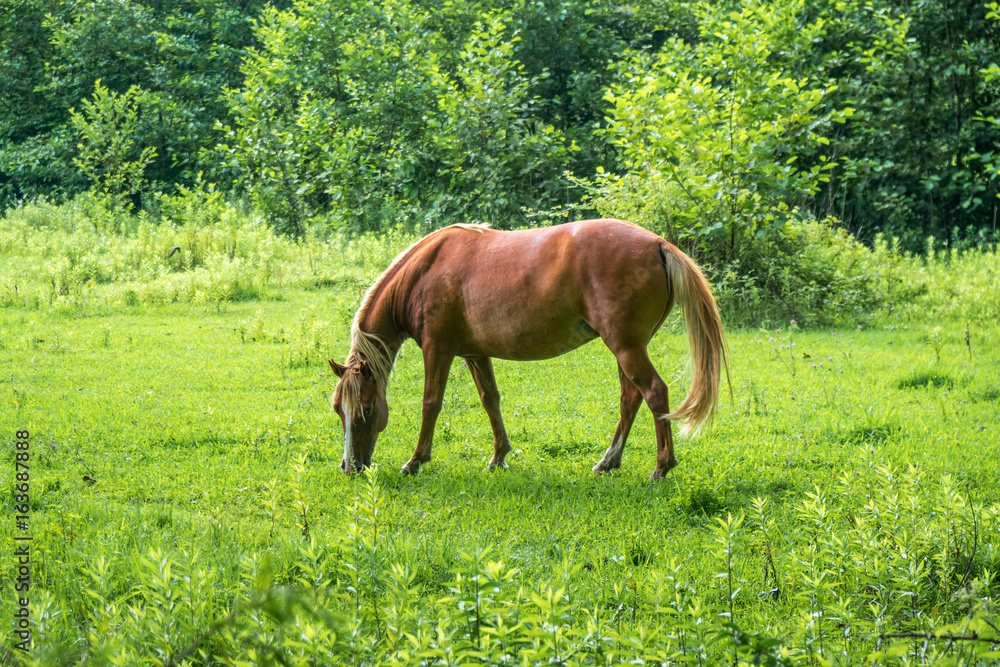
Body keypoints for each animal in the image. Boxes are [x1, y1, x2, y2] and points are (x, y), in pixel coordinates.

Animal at [328, 218, 729, 481]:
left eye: (365, 409)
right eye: (337, 410)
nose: (350, 467)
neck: (424, 272)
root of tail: (658, 244)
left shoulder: (437, 349)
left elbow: (431, 403)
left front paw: (416, 460)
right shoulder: (474, 354)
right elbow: (490, 400)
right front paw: (499, 456)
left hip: (627, 347)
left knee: (654, 393)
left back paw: (662, 466)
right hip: (626, 349)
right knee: (630, 398)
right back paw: (608, 462)